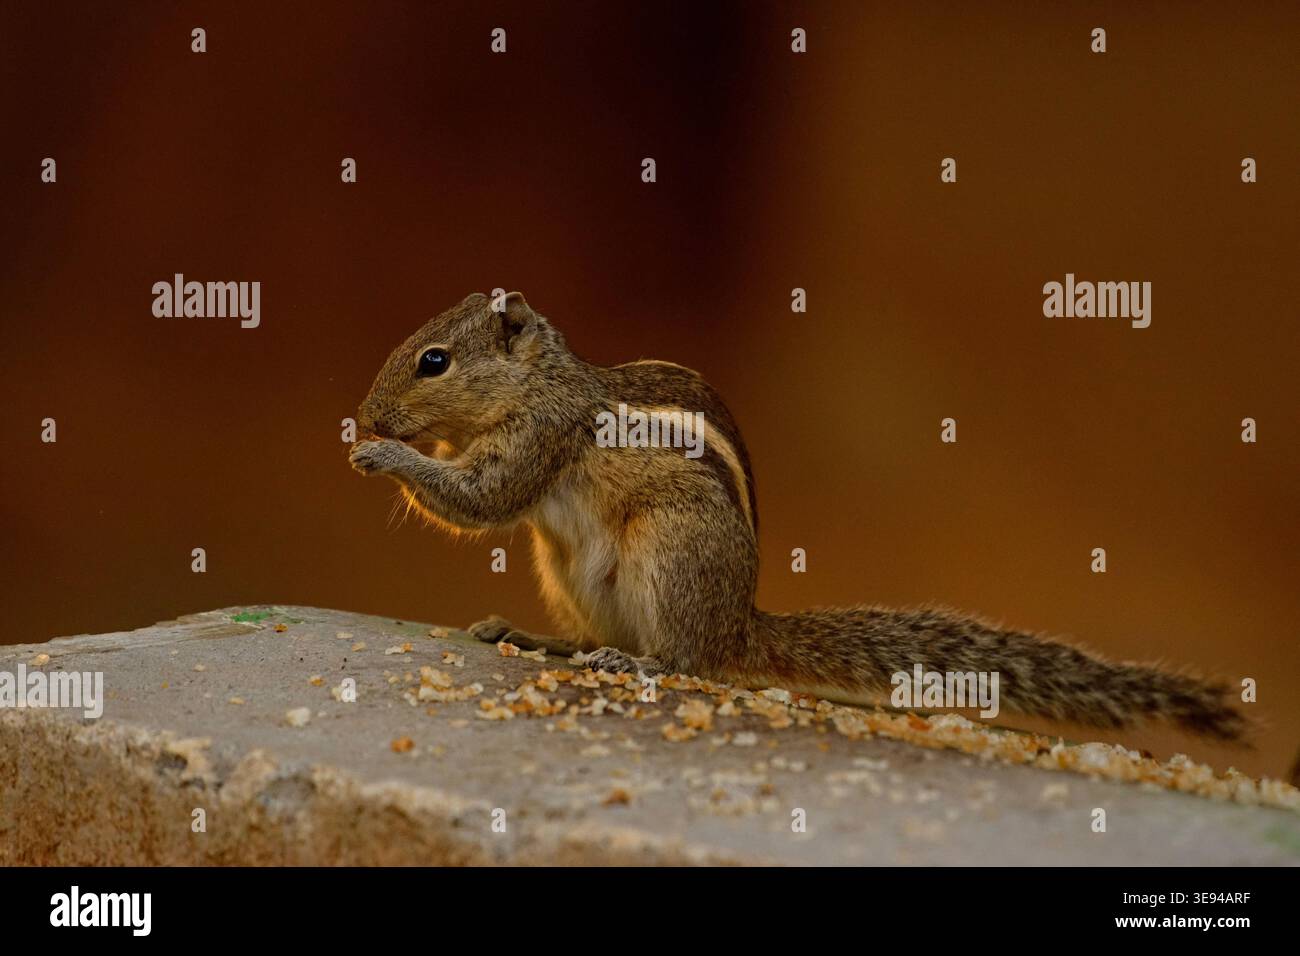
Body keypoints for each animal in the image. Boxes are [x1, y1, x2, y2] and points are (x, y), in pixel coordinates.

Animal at [350, 292, 1245, 742]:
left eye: (435, 361)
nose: (369, 414)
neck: (539, 382)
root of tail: (740, 625)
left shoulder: (542, 438)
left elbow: (482, 500)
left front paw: (382, 454)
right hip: (566, 572)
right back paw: (543, 638)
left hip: (669, 549)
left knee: (688, 660)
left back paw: (634, 662)